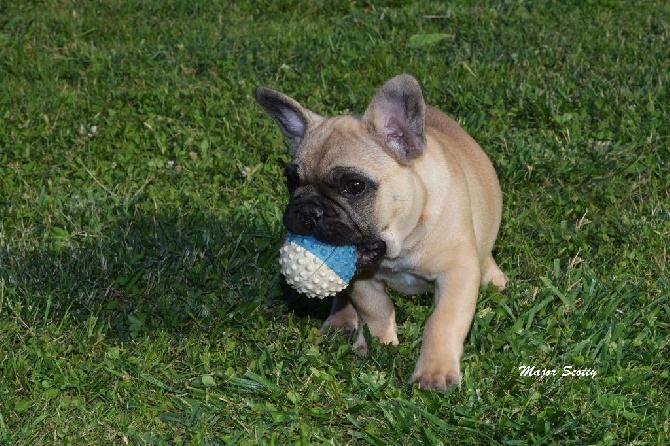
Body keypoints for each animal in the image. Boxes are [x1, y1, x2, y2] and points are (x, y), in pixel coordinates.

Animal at [258, 74, 510, 390]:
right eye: (291, 180)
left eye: (354, 186)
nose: (306, 210)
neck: (401, 243)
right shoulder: (361, 277)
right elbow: (375, 308)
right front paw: (377, 343)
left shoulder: (457, 273)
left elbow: (443, 321)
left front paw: (434, 372)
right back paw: (341, 320)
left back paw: (495, 280)